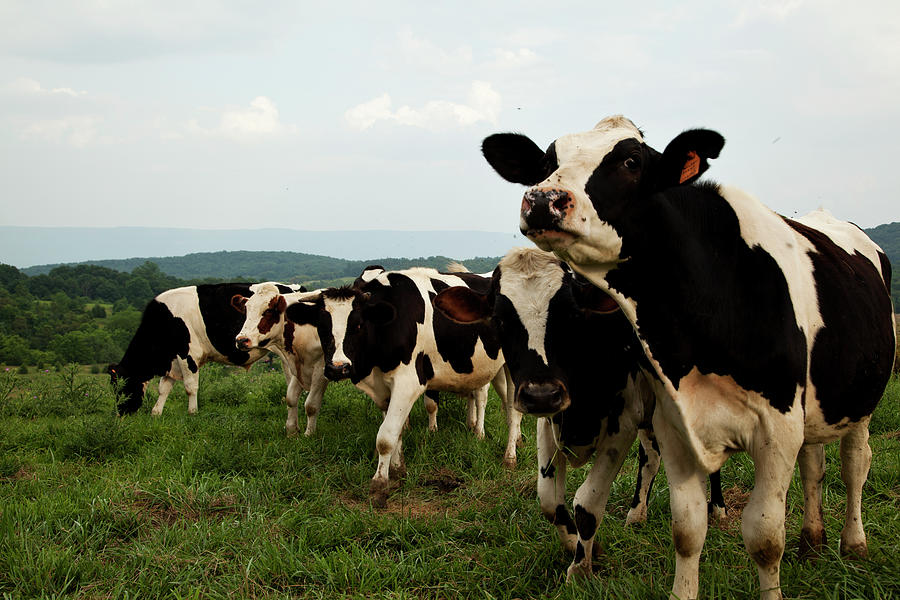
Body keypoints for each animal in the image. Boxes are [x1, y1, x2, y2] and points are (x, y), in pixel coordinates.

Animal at [109, 282, 303, 417]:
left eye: (121, 387)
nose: (120, 414)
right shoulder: (173, 360)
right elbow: (163, 388)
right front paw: (156, 413)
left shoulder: (187, 354)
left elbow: (190, 387)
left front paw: (192, 413)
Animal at [285, 267, 523, 508]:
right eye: (322, 327)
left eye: (358, 325)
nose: (338, 368)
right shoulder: (383, 388)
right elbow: (397, 431)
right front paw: (398, 469)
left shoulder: (408, 383)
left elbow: (385, 436)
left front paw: (379, 485)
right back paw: (518, 439)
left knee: (514, 410)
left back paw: (509, 457)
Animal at [434, 247, 725, 558]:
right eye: (500, 320)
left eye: (571, 316)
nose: (541, 394)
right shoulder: (550, 421)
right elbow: (549, 501)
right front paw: (576, 543)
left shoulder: (622, 423)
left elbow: (587, 503)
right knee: (651, 457)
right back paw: (637, 514)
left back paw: (717, 508)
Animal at [478, 116, 895, 600]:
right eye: (548, 160)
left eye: (631, 161)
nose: (543, 199)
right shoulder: (673, 423)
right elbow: (686, 529)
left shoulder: (777, 429)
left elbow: (765, 537)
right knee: (814, 467)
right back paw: (811, 539)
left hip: (860, 399)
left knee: (854, 466)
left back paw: (853, 542)